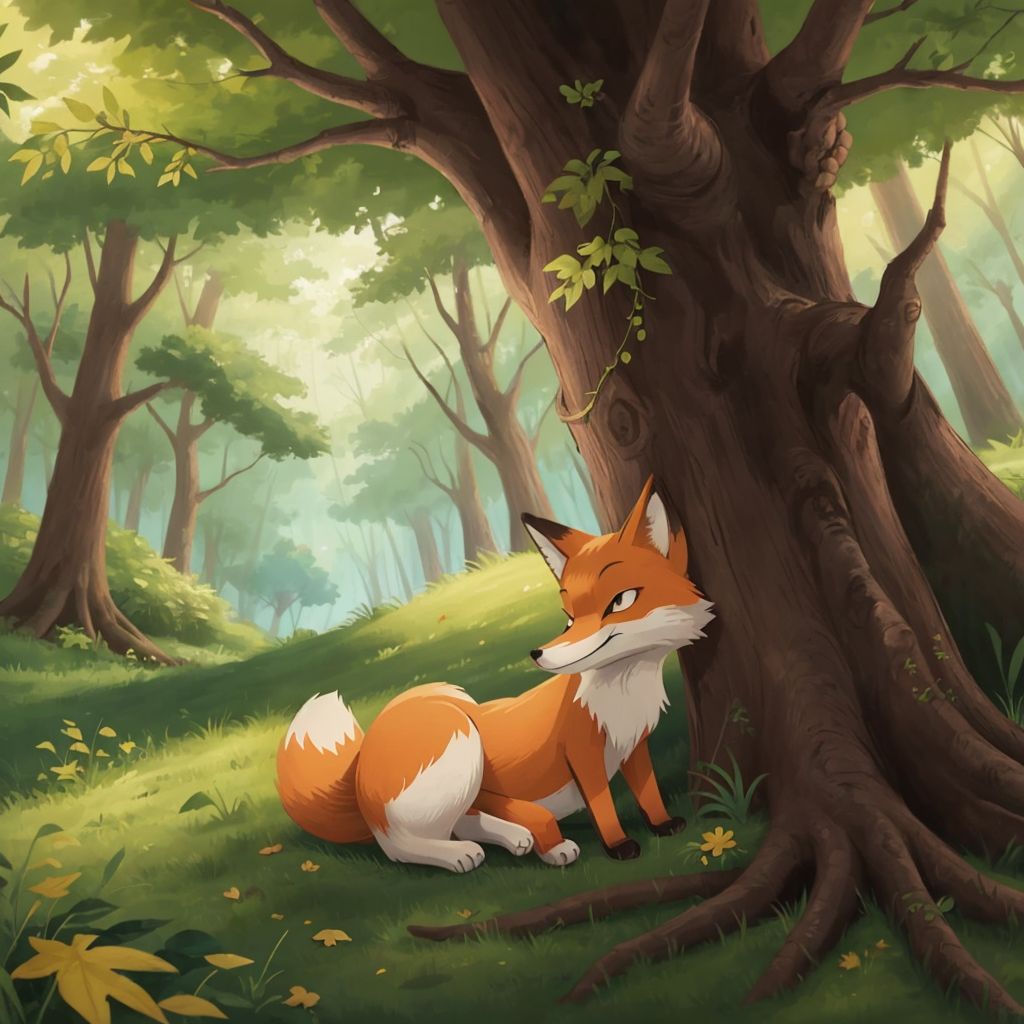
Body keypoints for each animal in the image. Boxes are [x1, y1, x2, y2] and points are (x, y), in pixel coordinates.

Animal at [276, 476, 714, 873]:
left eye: (620, 602)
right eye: (569, 616)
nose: (538, 654)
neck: (621, 693)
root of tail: (362, 759)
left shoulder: (634, 746)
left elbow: (648, 792)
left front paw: (662, 825)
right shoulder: (582, 752)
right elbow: (602, 806)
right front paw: (619, 845)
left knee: (464, 820)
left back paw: (520, 839)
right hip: (460, 735)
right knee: (401, 843)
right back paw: (466, 854)